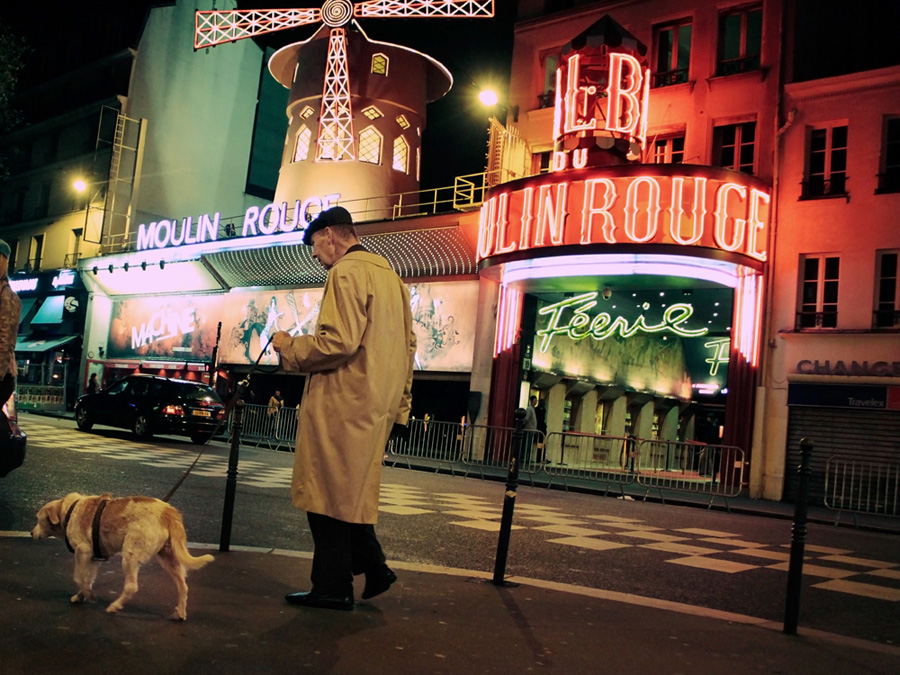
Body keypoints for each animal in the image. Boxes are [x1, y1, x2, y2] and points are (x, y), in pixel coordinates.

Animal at [31, 494, 214, 620]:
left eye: (38, 519)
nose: (31, 533)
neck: (69, 511)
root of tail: (168, 512)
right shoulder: (94, 558)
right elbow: (87, 580)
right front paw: (82, 595)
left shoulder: (83, 552)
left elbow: (78, 578)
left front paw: (88, 595)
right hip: (169, 558)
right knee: (183, 587)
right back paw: (180, 613)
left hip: (130, 556)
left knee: (132, 587)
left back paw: (115, 606)